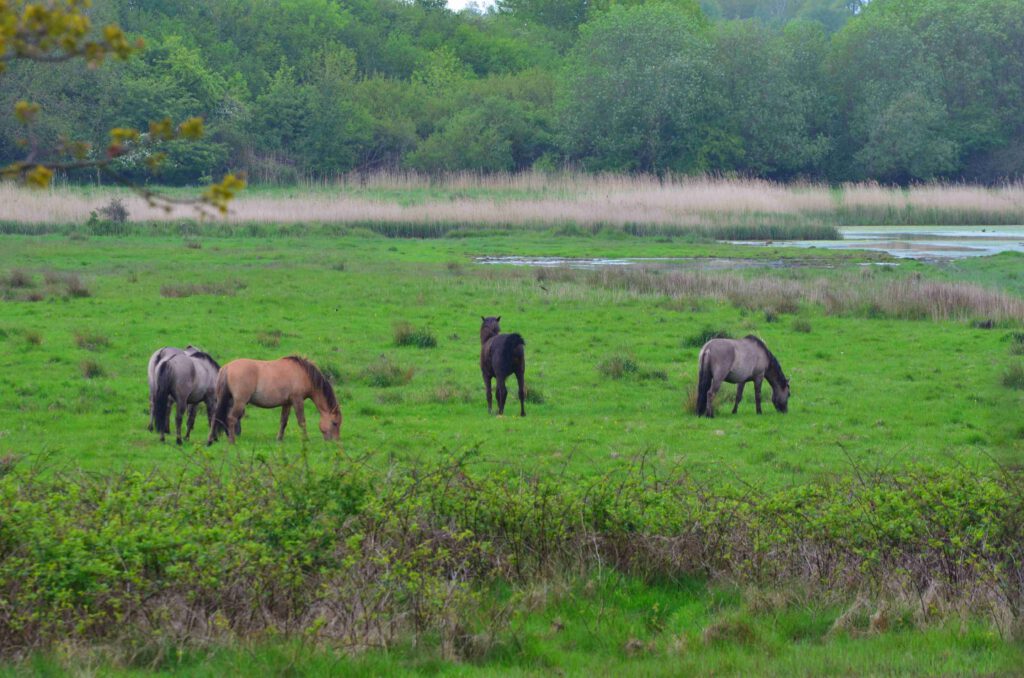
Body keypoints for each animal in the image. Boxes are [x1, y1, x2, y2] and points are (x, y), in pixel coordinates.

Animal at [205, 356, 342, 446]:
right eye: (334, 423)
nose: (335, 442)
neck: (303, 373)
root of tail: (227, 368)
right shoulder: (297, 400)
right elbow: (302, 421)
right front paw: (306, 439)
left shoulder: (287, 403)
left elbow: (283, 421)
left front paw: (279, 439)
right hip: (239, 402)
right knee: (231, 419)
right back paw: (232, 441)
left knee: (215, 418)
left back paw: (210, 440)